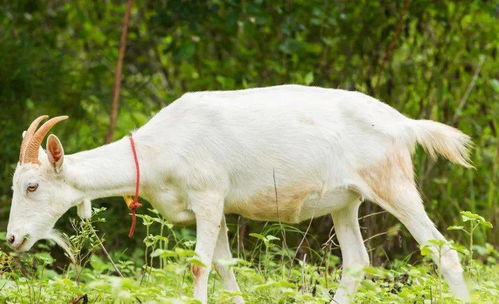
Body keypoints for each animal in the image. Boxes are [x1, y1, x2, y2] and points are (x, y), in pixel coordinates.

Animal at [5, 84, 472, 302]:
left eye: (32, 185)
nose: (12, 238)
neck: (162, 147)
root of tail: (404, 124)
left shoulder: (208, 196)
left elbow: (198, 267)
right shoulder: (215, 208)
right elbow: (225, 266)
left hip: (392, 181)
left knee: (443, 251)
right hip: (346, 203)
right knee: (356, 262)